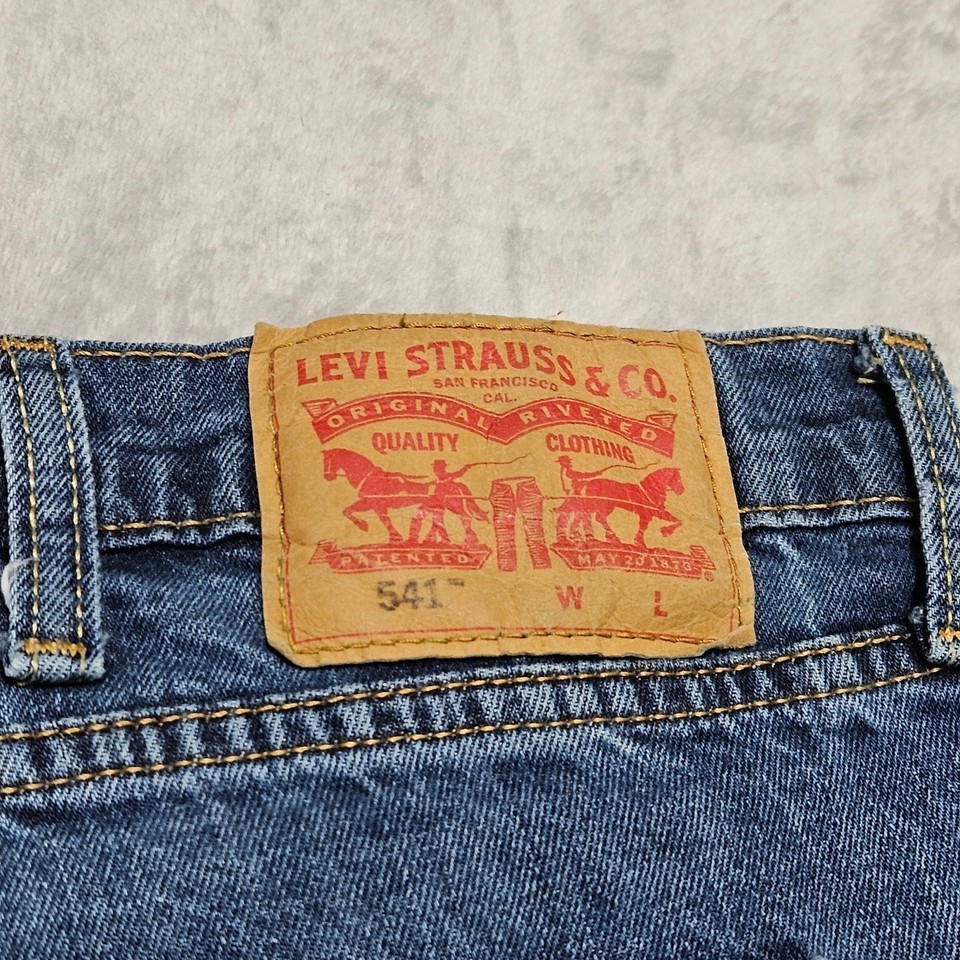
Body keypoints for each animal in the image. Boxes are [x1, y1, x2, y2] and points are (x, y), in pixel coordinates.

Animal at [555, 467, 684, 548]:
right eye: (677, 479)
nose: (681, 491)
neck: (649, 490)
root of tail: (588, 482)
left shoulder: (656, 512)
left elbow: (676, 520)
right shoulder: (646, 513)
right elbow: (644, 527)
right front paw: (643, 541)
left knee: (586, 515)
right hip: (601, 505)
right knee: (593, 517)